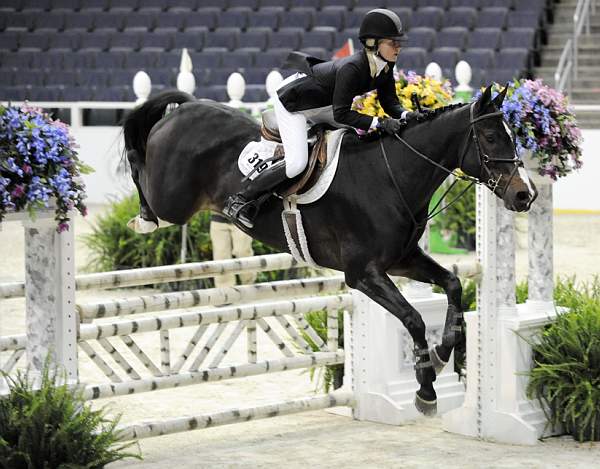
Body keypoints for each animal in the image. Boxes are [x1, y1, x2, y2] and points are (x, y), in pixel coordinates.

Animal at [124, 86, 536, 414]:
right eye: (490, 136)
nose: (524, 195)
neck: (392, 175)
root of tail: (185, 109)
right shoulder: (363, 274)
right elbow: (414, 319)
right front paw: (425, 389)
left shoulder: (402, 260)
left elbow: (452, 284)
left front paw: (445, 350)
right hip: (172, 201)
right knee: (140, 168)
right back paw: (143, 218)